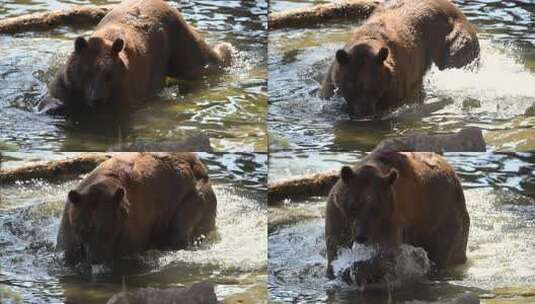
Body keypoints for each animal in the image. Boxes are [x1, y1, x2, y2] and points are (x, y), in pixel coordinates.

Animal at [40, 0, 233, 114]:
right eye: (86, 72)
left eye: (108, 74)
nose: (97, 99)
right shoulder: (68, 86)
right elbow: (54, 99)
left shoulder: (124, 90)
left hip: (177, 43)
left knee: (199, 62)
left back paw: (226, 51)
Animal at [57, 153, 218, 264]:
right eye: (85, 229)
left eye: (108, 230)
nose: (97, 259)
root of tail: (199, 163)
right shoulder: (70, 228)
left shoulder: (132, 225)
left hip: (193, 197)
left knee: (180, 228)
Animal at [322, 149, 468, 278]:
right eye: (354, 206)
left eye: (375, 208)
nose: (361, 236)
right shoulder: (339, 212)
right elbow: (336, 242)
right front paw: (336, 270)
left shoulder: (390, 217)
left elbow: (384, 249)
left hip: (441, 214)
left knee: (443, 248)